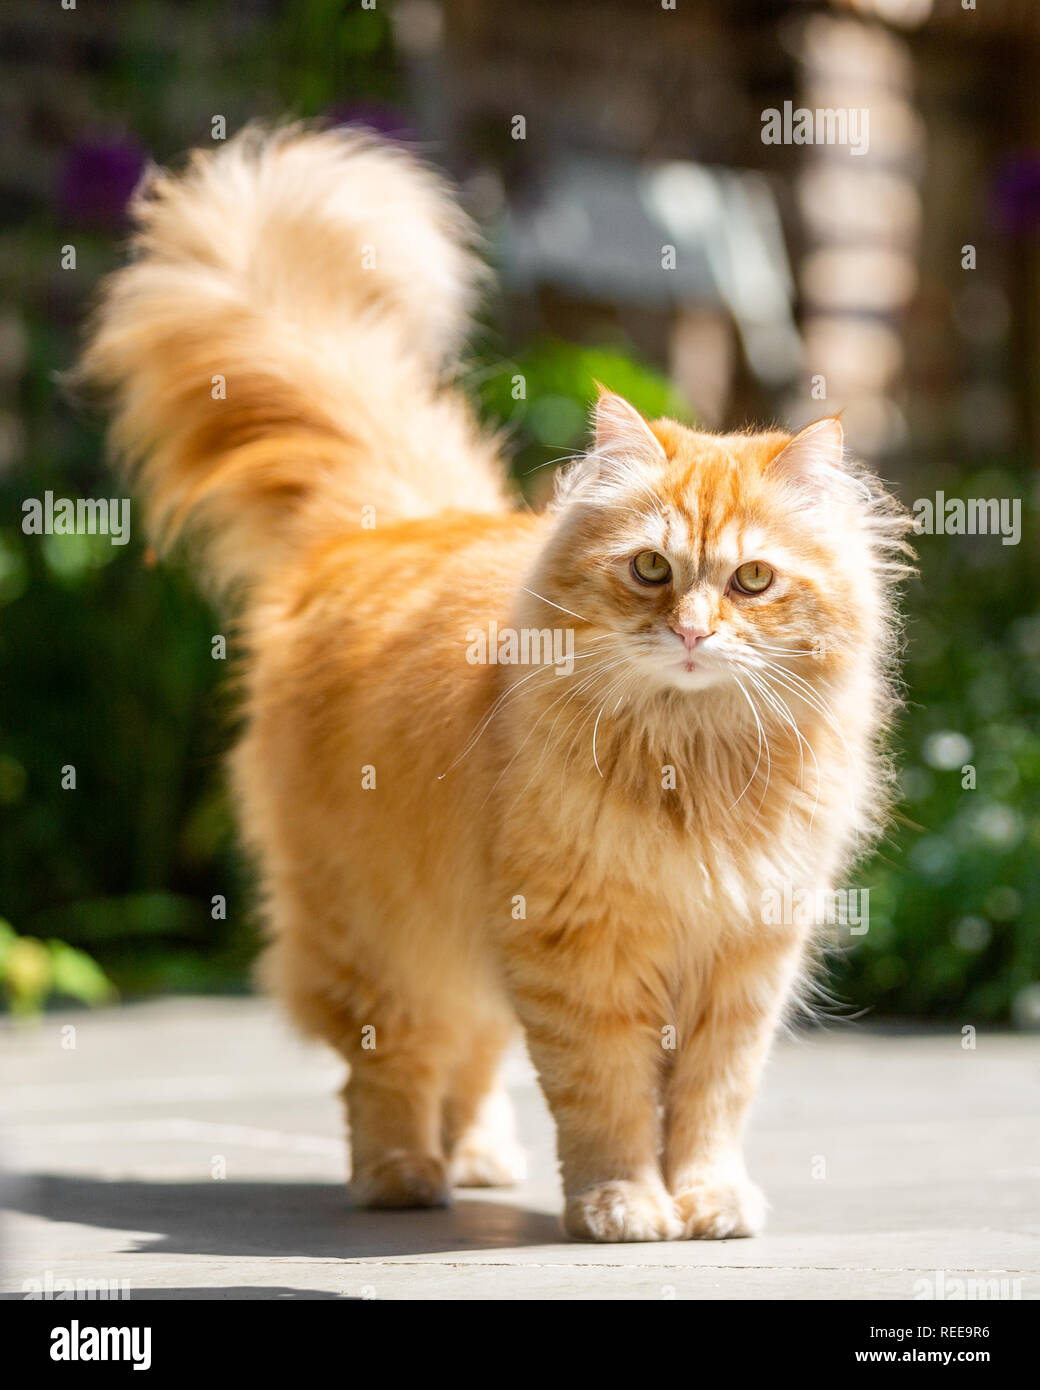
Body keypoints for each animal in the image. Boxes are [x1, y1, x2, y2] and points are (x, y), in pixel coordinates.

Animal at [81, 125, 912, 1245]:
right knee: (390, 1064)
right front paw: (621, 1203)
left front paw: (707, 1199)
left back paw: (475, 1160)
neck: (688, 762)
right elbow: (605, 1097)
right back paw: (402, 1176)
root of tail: (386, 525)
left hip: (459, 935)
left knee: (468, 1053)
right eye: (651, 570)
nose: (692, 633)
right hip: (377, 931)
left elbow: (709, 1101)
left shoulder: (741, 960)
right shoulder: (576, 945)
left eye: (750, 581)